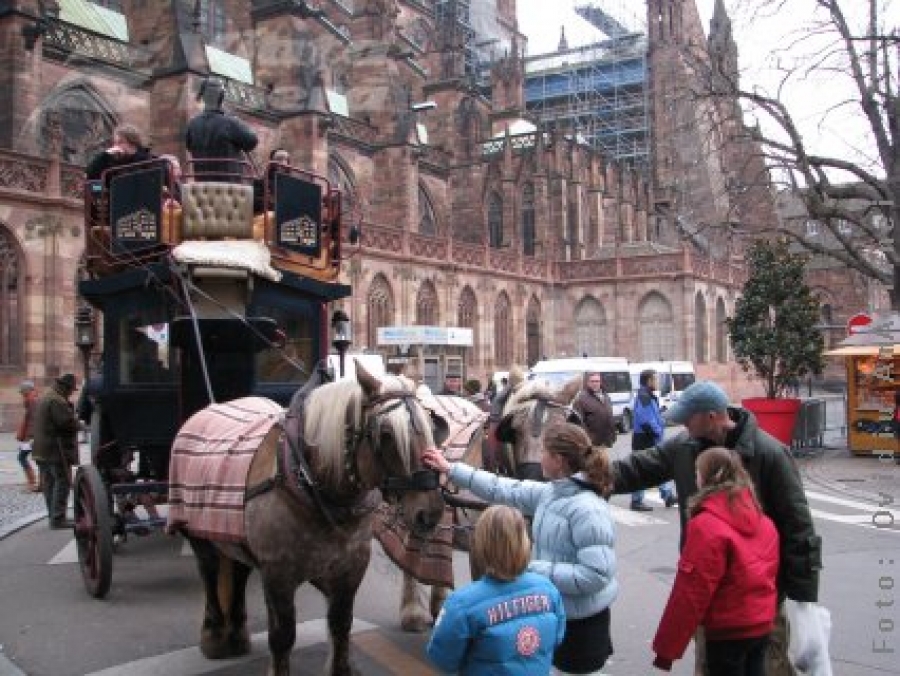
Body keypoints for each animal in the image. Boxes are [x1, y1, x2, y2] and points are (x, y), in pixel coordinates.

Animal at [167, 362, 444, 672]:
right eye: (385, 434)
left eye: (432, 425)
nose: (430, 513)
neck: (307, 479)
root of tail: (207, 409)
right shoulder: (278, 572)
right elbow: (283, 636)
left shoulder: (350, 566)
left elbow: (340, 623)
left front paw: (340, 668)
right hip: (198, 534)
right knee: (209, 571)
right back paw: (215, 637)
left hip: (235, 535)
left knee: (238, 571)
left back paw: (237, 635)